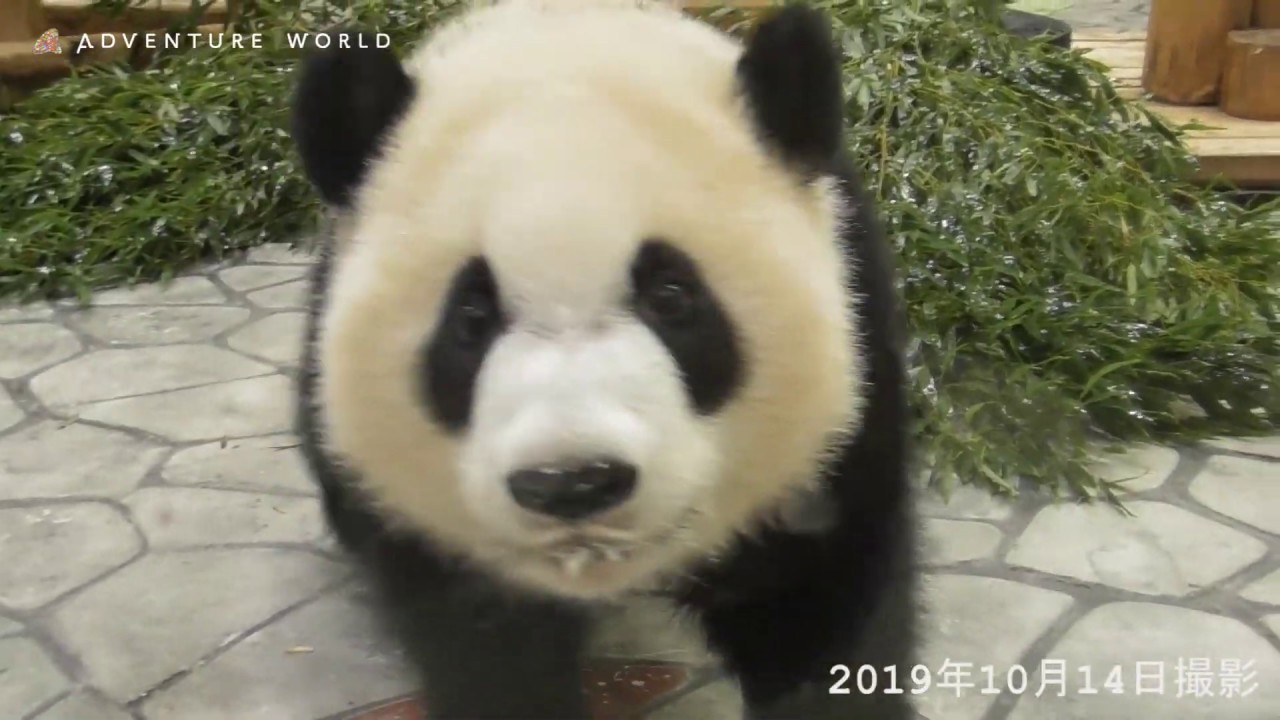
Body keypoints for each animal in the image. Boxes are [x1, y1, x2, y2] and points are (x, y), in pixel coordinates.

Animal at [290, 1, 917, 718]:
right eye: (471, 318)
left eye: (671, 296)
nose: (572, 482)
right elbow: (486, 647)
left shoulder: (846, 388)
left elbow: (823, 601)